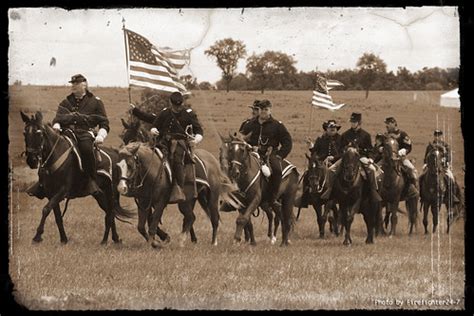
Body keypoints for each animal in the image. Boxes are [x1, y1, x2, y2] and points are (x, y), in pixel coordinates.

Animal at [20, 111, 133, 244]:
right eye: (25, 133)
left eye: (39, 133)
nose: (31, 160)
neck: (56, 156)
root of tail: (117, 155)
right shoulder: (51, 193)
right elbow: (57, 217)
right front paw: (64, 239)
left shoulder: (62, 191)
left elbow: (46, 209)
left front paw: (37, 235)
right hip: (99, 195)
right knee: (110, 212)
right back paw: (115, 238)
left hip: (111, 192)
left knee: (110, 214)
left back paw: (105, 241)